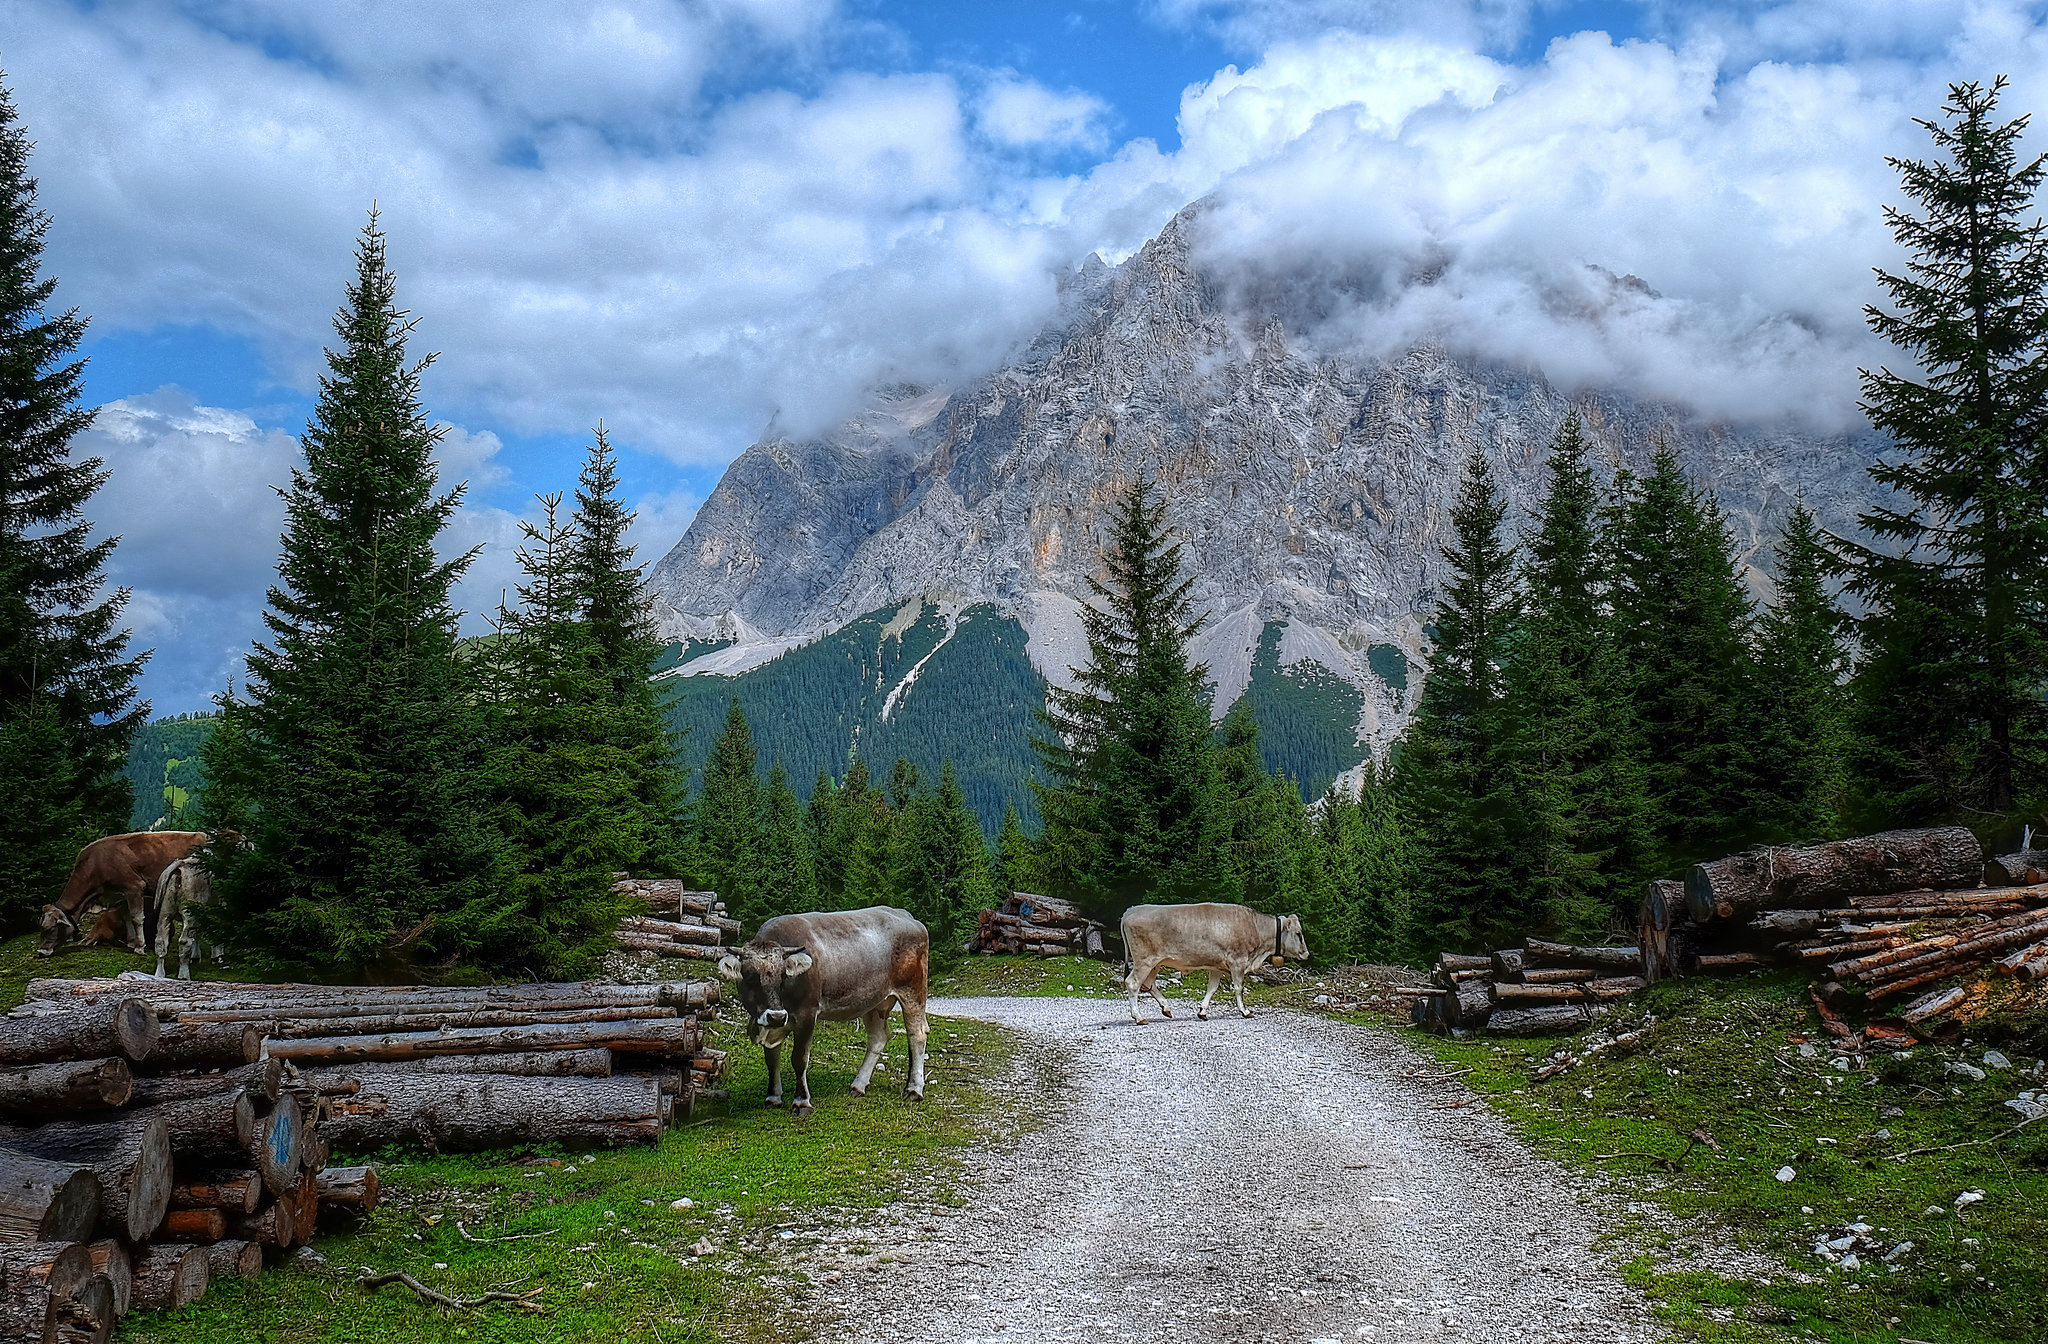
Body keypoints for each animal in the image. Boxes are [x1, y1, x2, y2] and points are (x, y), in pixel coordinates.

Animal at [40, 827, 211, 954]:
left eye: (51, 928)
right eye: (41, 927)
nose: (41, 952)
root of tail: (205, 835)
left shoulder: (134, 886)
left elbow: (137, 917)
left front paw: (140, 947)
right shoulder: (120, 894)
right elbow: (126, 915)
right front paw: (132, 942)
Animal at [716, 909, 933, 1114]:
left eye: (784, 976)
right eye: (750, 976)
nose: (776, 1016)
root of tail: (906, 915)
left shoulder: (807, 1014)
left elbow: (799, 1059)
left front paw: (801, 1101)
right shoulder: (772, 1023)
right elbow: (772, 1059)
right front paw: (773, 1097)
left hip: (913, 990)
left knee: (917, 1034)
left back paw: (914, 1089)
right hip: (873, 1001)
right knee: (878, 1038)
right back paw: (858, 1085)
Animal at [1122, 909, 1310, 1024]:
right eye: (1298, 934)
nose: (1306, 954)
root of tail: (1130, 911)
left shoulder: (1216, 967)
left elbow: (1212, 988)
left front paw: (1202, 1012)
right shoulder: (1238, 962)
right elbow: (1238, 988)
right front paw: (1245, 1011)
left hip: (1155, 963)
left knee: (1149, 984)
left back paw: (1166, 1008)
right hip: (1144, 961)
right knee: (1133, 983)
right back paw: (1138, 1017)